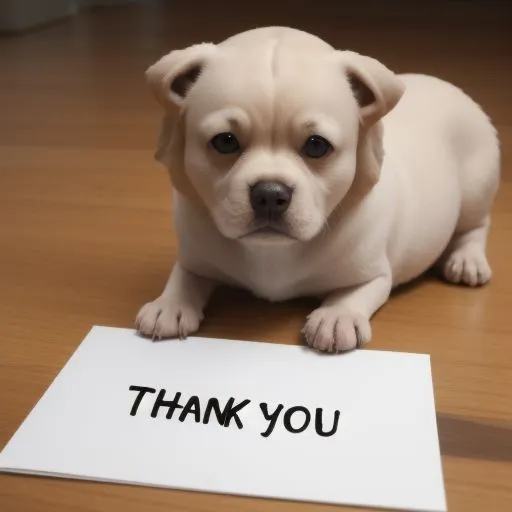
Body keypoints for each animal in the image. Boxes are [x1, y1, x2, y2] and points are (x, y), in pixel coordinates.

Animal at [135, 27, 500, 352]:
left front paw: (337, 317)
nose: (270, 193)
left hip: (475, 188)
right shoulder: (195, 256)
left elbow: (354, 292)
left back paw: (466, 259)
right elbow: (184, 276)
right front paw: (169, 304)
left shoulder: (374, 274)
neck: (272, 253)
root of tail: (450, 87)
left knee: (476, 226)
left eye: (316, 146)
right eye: (225, 142)